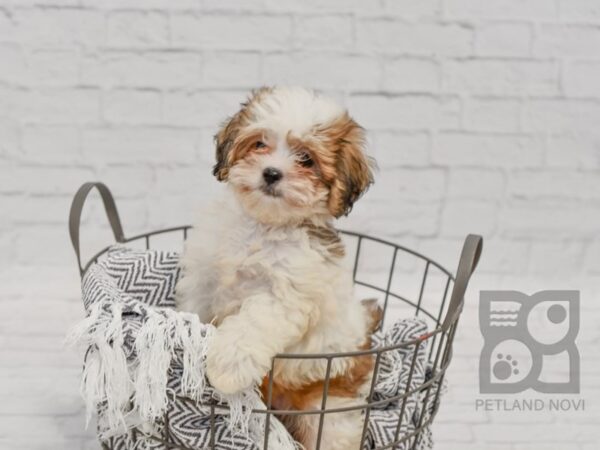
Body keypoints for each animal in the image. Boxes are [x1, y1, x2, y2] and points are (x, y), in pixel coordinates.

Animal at [176, 86, 378, 448]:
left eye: (306, 159)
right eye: (259, 144)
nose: (271, 173)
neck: (263, 225)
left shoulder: (284, 296)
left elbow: (252, 326)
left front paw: (226, 367)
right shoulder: (203, 276)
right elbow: (194, 310)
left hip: (330, 410)